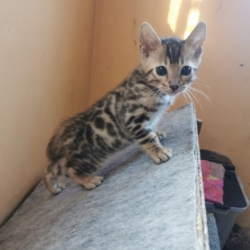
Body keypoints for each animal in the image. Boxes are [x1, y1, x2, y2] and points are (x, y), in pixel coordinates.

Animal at [44, 21, 206, 194]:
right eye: (161, 70)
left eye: (186, 69)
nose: (174, 86)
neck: (151, 86)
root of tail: (65, 129)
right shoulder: (131, 118)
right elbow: (147, 137)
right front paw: (158, 151)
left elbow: (151, 128)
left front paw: (156, 132)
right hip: (91, 157)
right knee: (70, 168)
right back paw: (87, 180)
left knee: (52, 170)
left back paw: (53, 187)